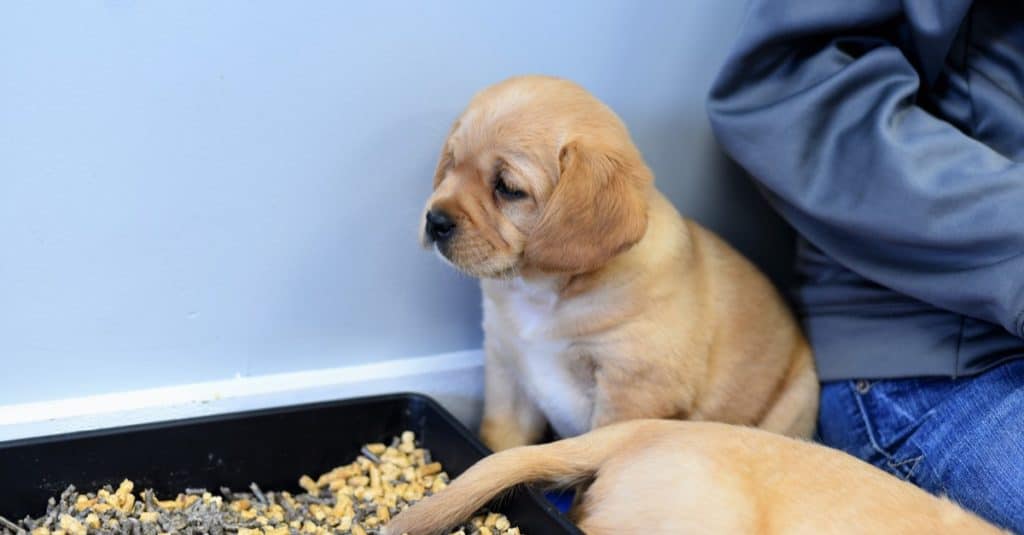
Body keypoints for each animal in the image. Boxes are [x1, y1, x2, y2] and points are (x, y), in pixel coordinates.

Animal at [419, 74, 819, 444]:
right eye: (452, 163)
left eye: (508, 188)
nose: (435, 221)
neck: (542, 292)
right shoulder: (507, 369)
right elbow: (500, 444)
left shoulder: (632, 390)